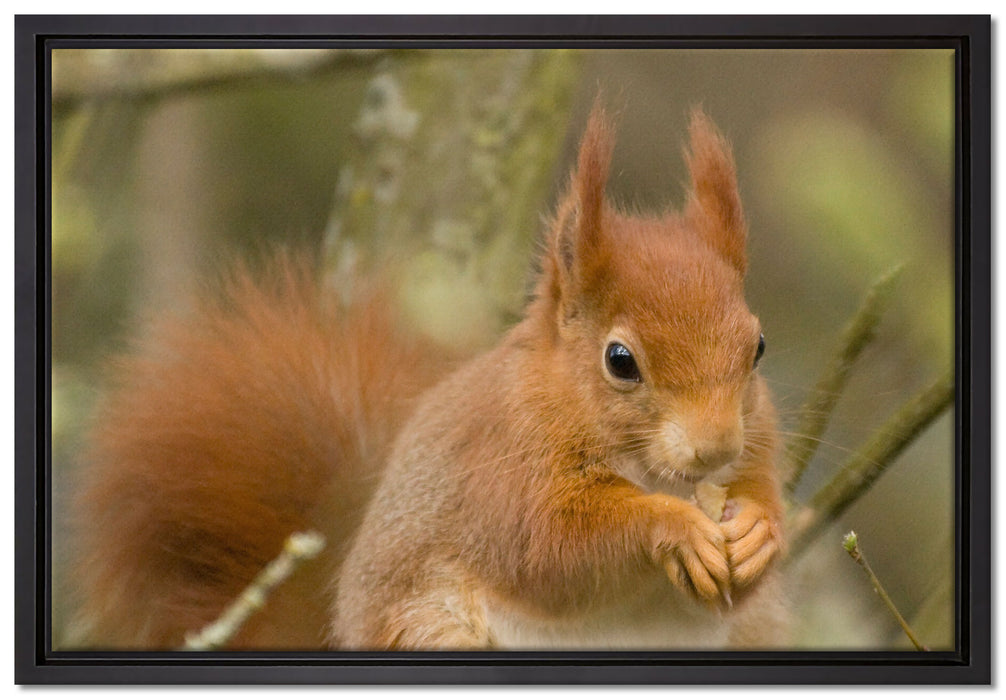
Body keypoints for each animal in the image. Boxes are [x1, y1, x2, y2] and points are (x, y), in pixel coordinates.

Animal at [68, 104, 788, 650]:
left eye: (757, 347)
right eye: (620, 361)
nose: (715, 448)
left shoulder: (759, 441)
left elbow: (757, 509)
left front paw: (758, 529)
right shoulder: (502, 471)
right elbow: (551, 546)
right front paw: (674, 528)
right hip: (425, 629)